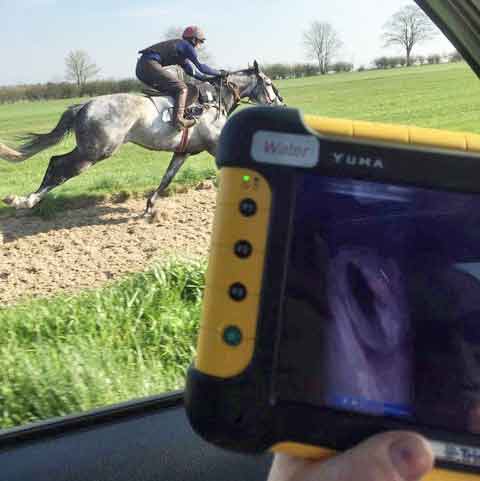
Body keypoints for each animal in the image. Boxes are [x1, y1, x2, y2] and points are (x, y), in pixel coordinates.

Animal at [0, 60, 284, 216]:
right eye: (270, 83)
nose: (281, 104)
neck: (215, 101)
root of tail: (83, 105)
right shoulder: (215, 147)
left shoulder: (183, 152)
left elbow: (167, 179)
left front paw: (150, 206)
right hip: (96, 151)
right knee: (59, 166)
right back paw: (26, 200)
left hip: (90, 150)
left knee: (55, 162)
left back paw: (27, 200)